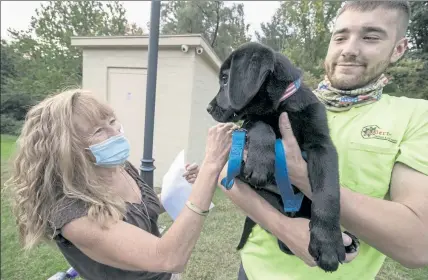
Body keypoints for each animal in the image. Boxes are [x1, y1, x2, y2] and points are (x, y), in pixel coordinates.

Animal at [206, 42, 358, 272]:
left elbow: (328, 192)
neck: (281, 106)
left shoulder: (322, 145)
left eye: (225, 79)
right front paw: (260, 161)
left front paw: (328, 243)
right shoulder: (246, 127)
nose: (208, 108)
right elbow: (259, 123)